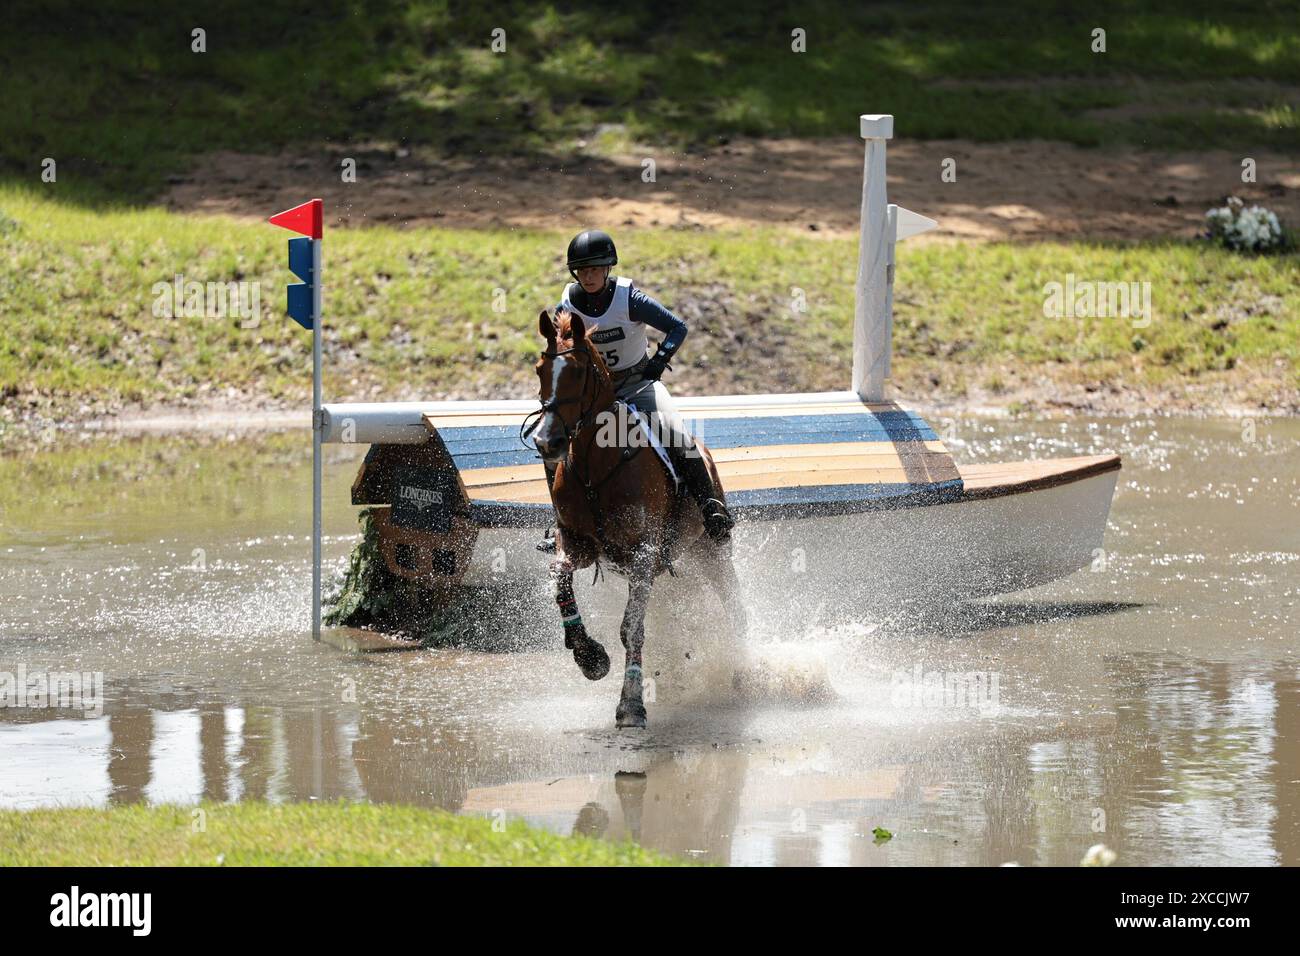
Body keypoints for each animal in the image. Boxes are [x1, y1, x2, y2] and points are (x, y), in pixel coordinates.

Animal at [530, 310, 754, 728]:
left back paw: (745, 674)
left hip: (711, 549)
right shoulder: (579, 544)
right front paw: (589, 656)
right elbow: (560, 577)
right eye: (540, 369)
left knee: (736, 609)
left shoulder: (643, 553)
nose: (546, 442)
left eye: (578, 372)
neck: (595, 462)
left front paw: (631, 704)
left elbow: (631, 628)